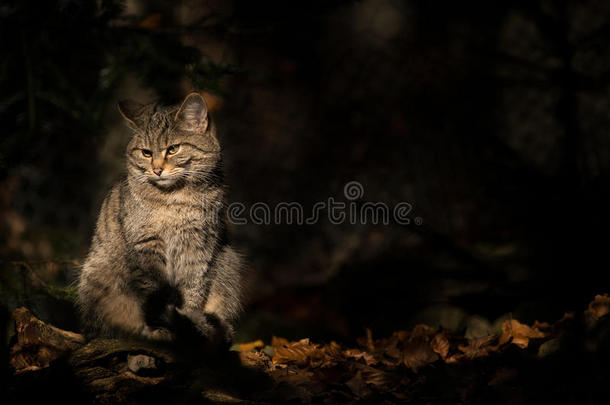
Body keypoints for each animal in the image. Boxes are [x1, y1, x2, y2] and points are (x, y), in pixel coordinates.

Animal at [77, 92, 243, 344]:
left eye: (173, 149)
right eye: (146, 153)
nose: (156, 170)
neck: (175, 199)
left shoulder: (198, 247)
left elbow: (193, 291)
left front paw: (189, 323)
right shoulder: (146, 247)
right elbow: (153, 291)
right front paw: (160, 328)